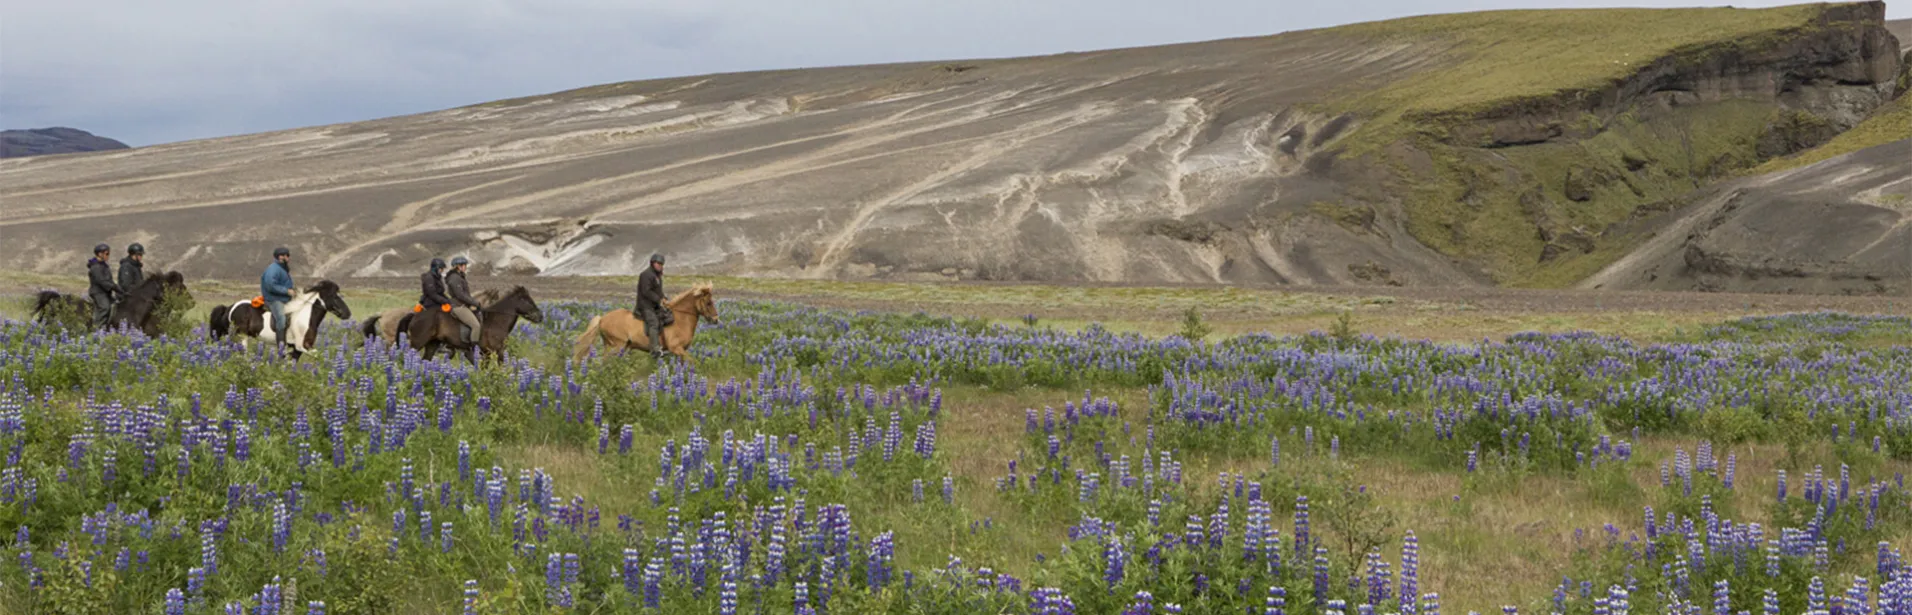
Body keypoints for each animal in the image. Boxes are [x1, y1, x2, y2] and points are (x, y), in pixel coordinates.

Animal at [569, 284, 718, 364]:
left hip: (617, 347)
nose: (716, 320)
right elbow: (693, 362)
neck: (680, 319)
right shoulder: (676, 348)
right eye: (708, 303)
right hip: (617, 346)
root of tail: (602, 319)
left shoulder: (680, 351)